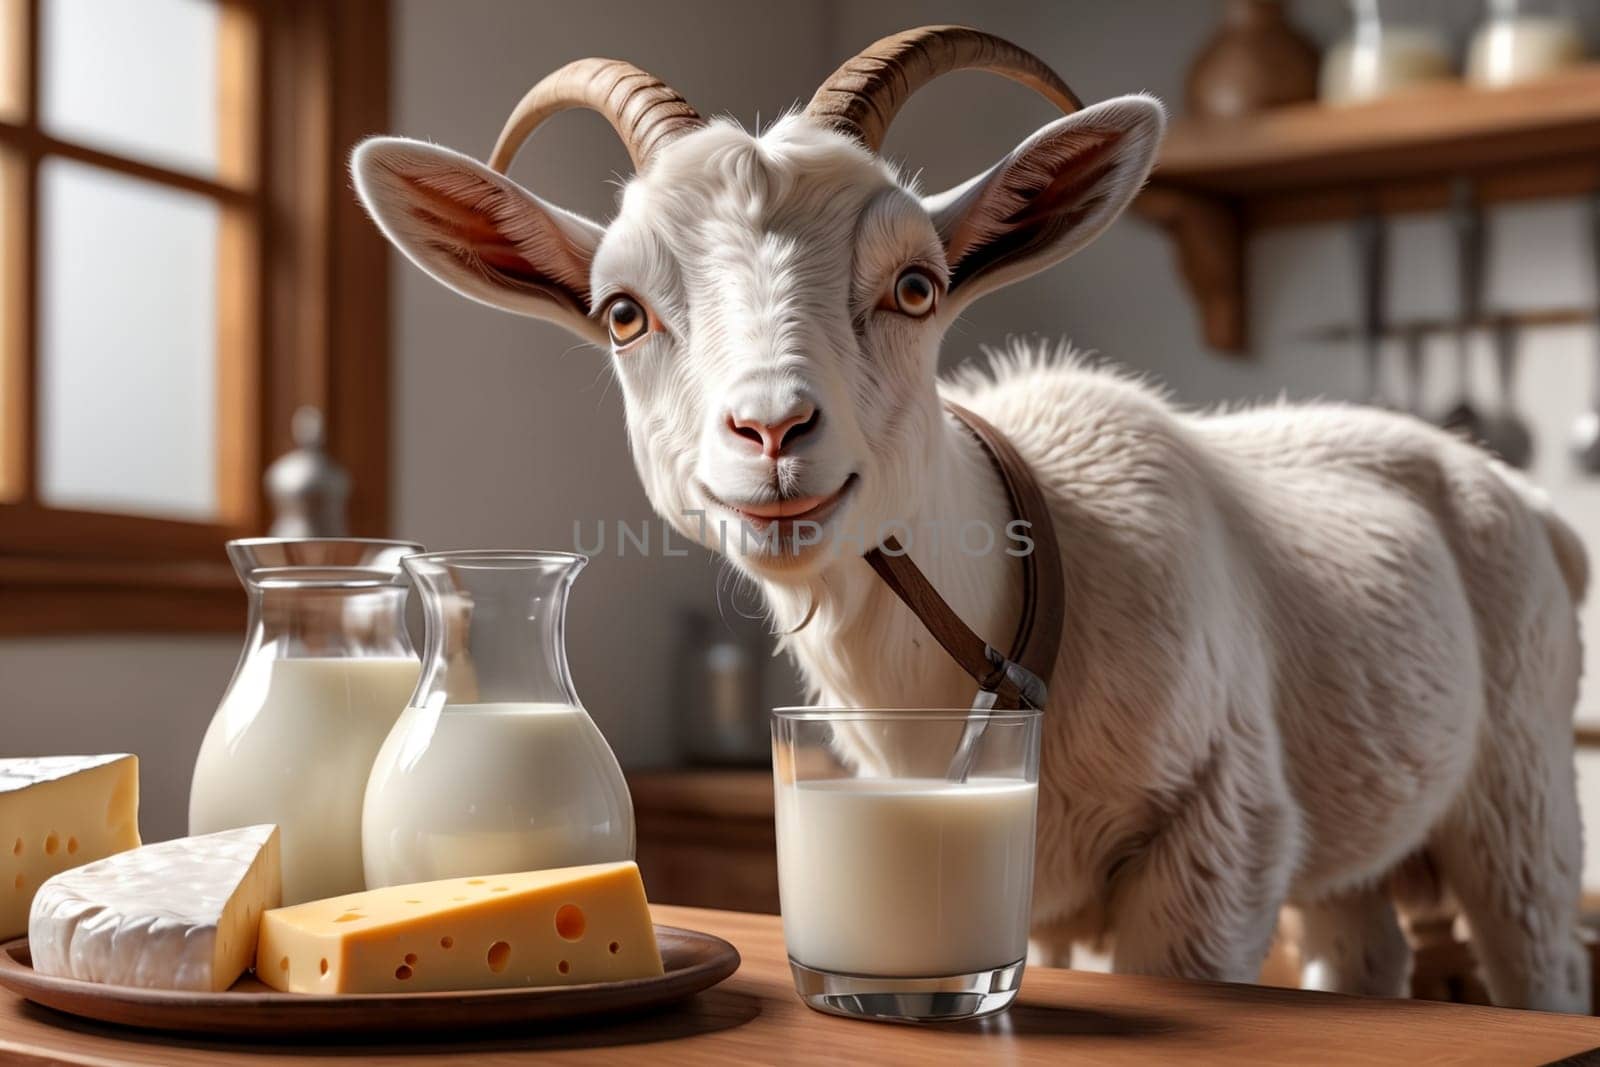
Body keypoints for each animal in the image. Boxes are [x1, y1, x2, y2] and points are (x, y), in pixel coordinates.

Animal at [350, 24, 1587, 1011]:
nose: (772, 430)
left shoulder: (1217, 845)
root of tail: (1520, 497)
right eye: (621, 311)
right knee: (1361, 939)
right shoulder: (1057, 897)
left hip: (1520, 795)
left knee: (1537, 942)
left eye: (916, 286)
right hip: (1362, 836)